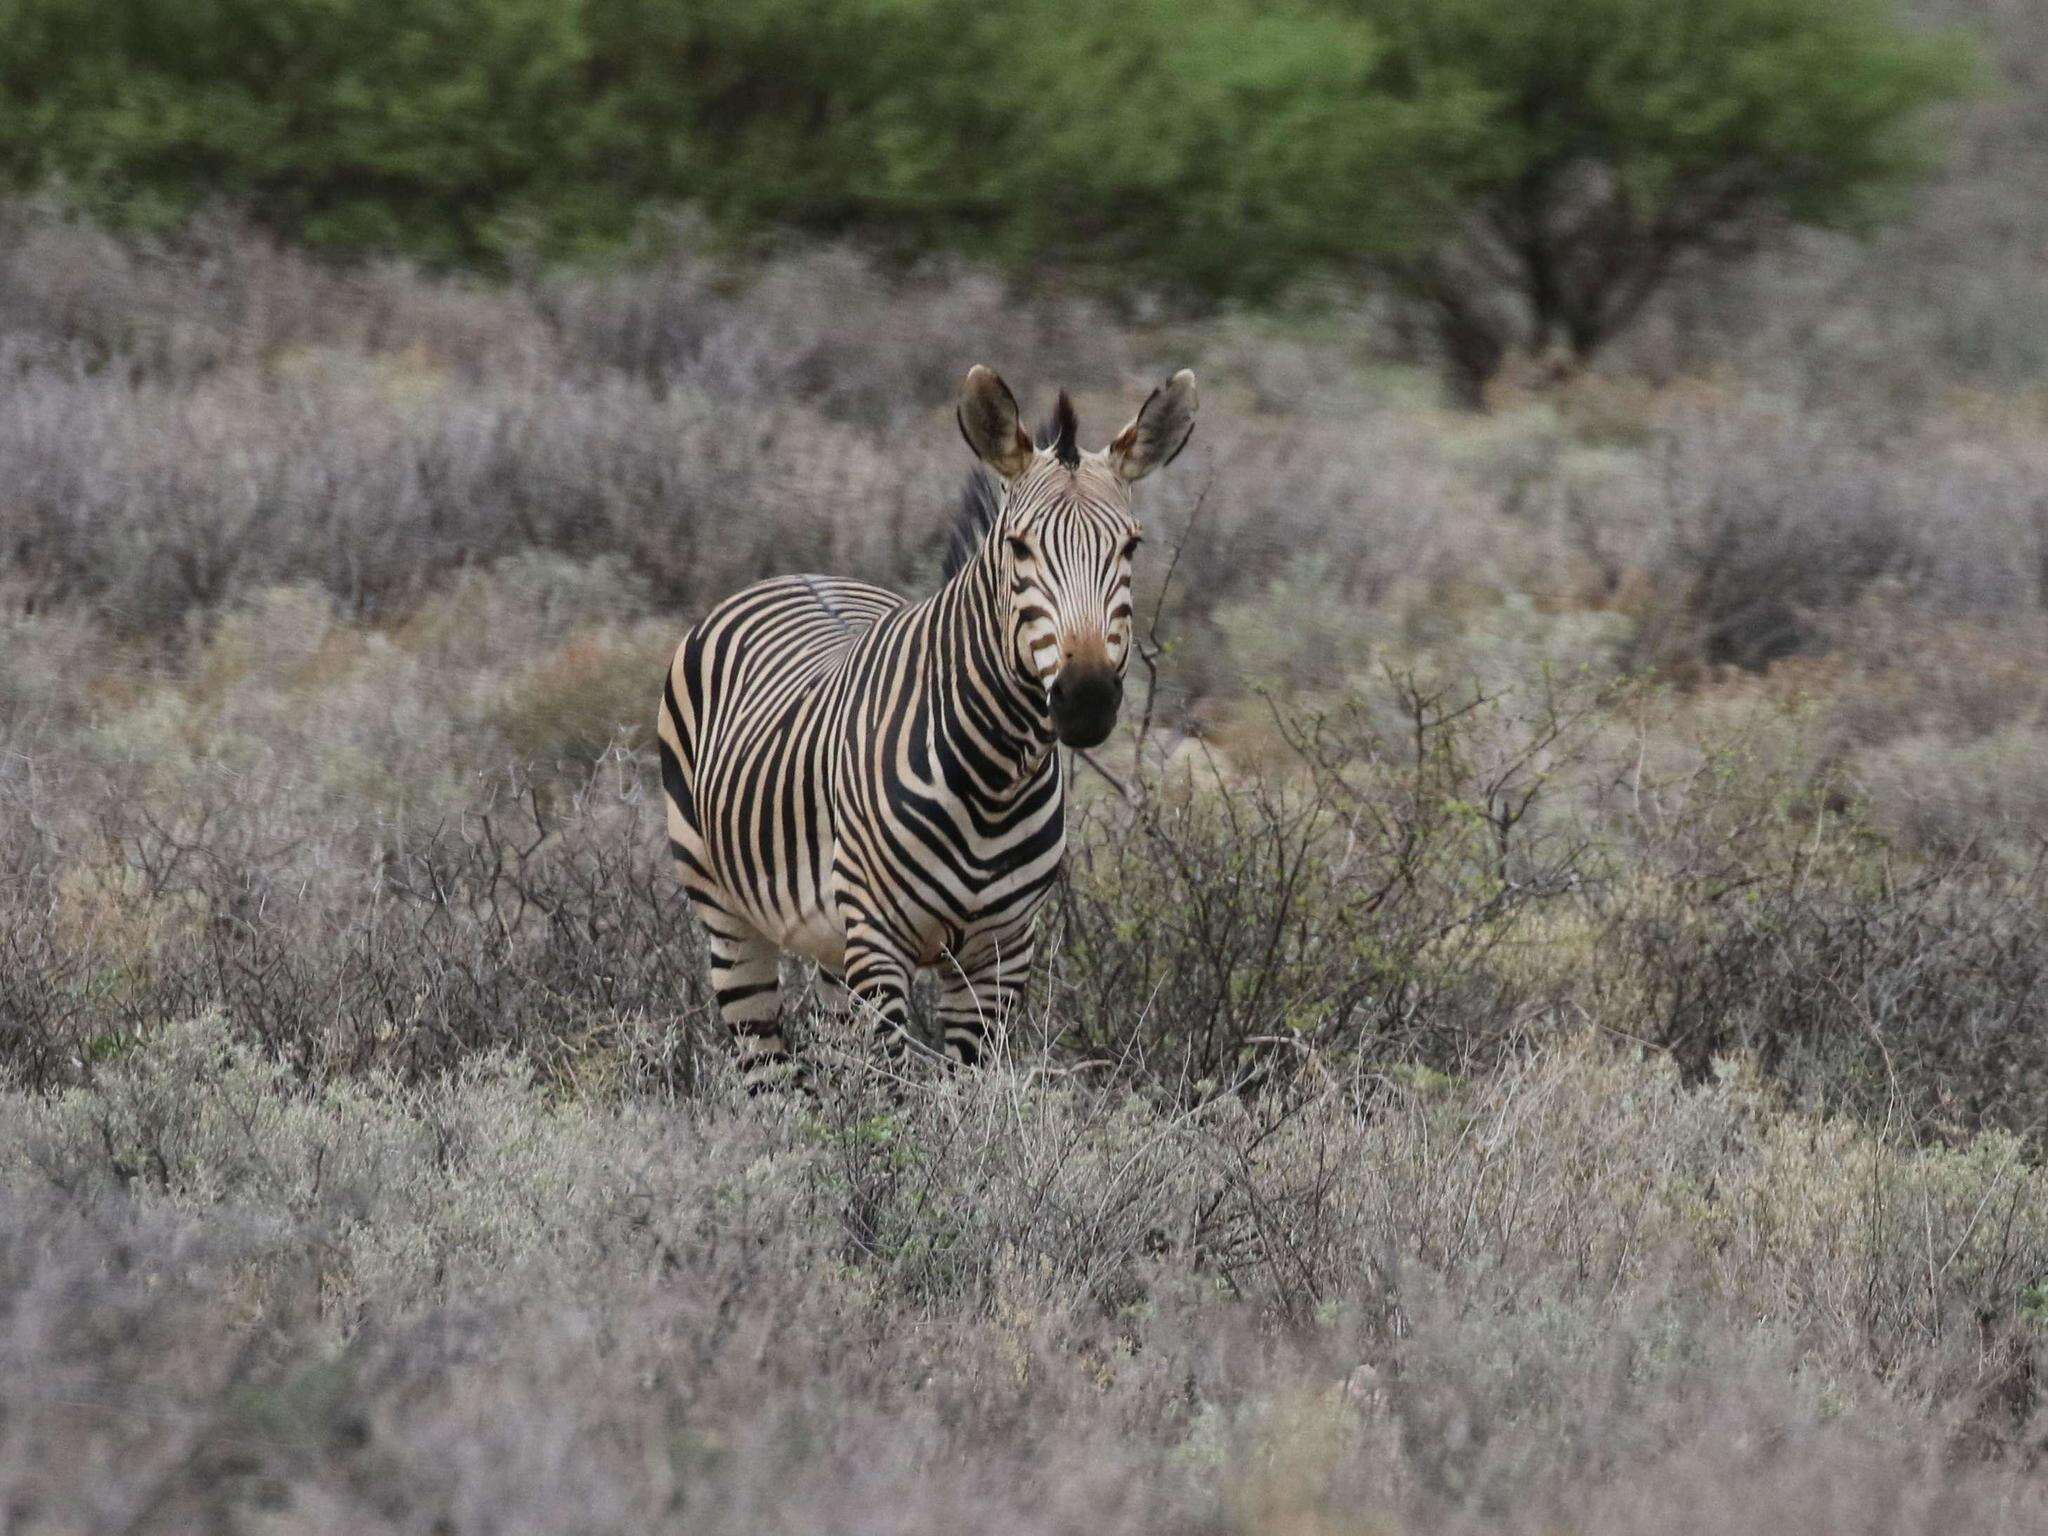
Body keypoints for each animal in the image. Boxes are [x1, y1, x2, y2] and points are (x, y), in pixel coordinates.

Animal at [655, 366, 1196, 1089]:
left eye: (1132, 545)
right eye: (1018, 547)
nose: (1084, 698)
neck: (992, 779)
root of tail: (798, 572)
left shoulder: (1001, 953)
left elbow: (956, 1095)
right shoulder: (880, 942)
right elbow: (899, 1097)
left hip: (833, 945)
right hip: (729, 917)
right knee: (767, 1076)